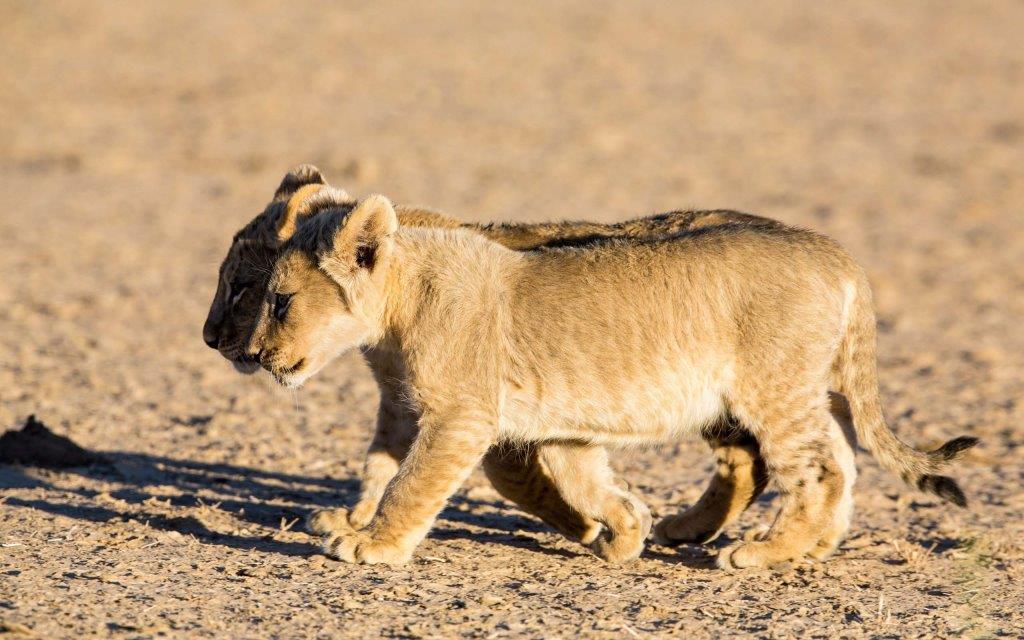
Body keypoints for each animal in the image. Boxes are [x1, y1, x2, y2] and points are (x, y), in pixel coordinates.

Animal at [245, 188, 977, 568]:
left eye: (279, 300)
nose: (258, 355)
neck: (402, 301)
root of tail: (837, 254)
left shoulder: (461, 417)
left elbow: (410, 483)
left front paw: (372, 544)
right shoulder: (556, 427)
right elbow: (587, 483)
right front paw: (625, 534)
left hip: (773, 385)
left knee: (820, 467)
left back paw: (765, 552)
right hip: (803, 386)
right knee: (839, 461)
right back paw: (806, 545)